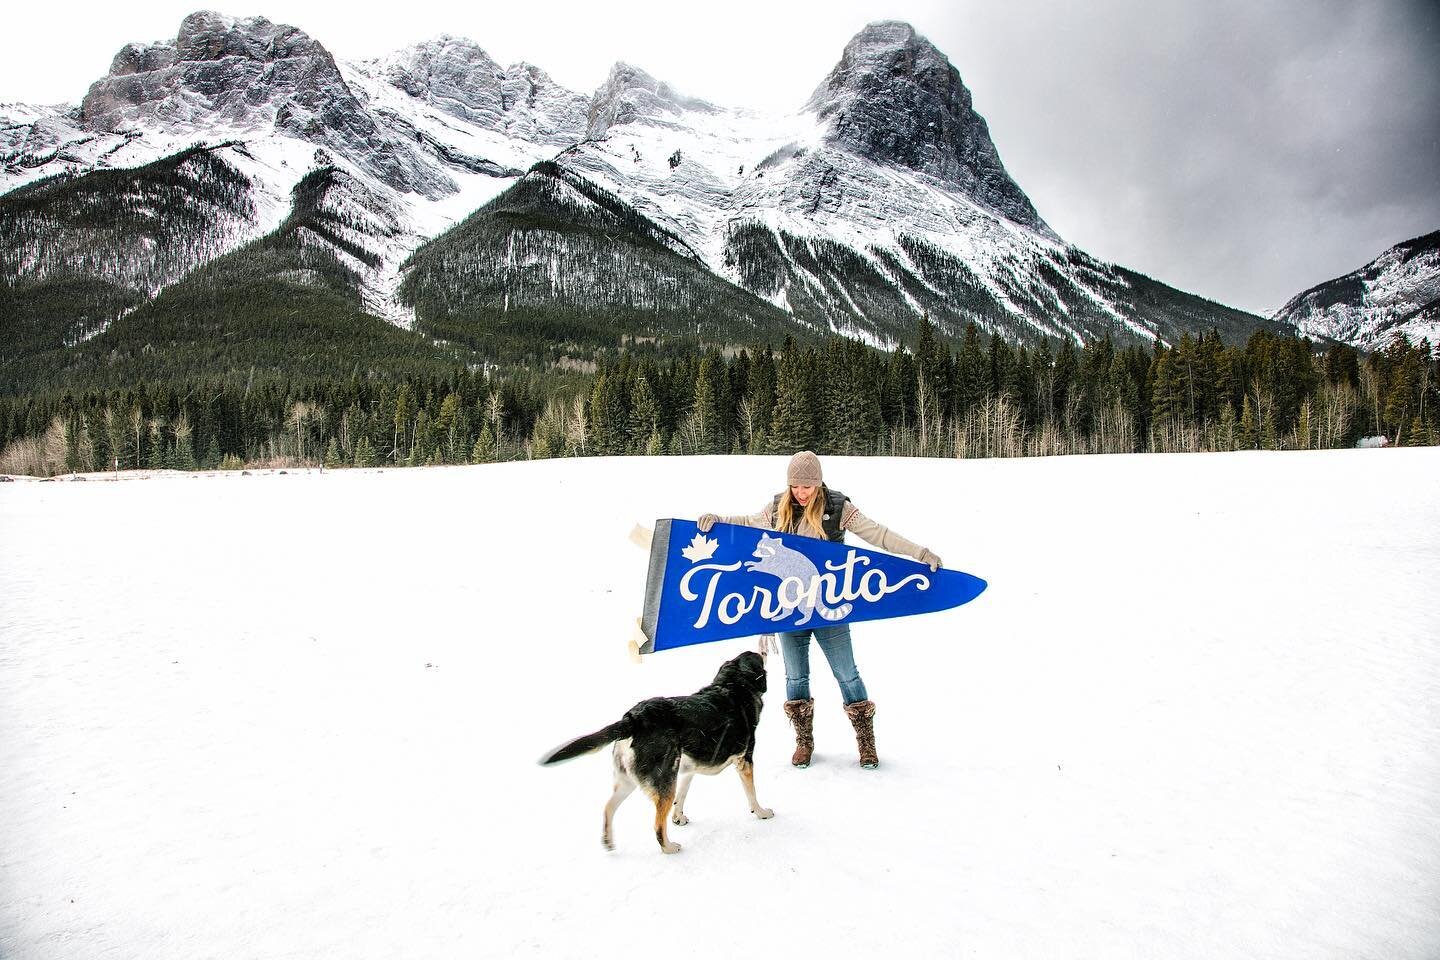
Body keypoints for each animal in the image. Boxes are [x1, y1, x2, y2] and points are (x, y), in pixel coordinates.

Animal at [538, 653, 771, 857]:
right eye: (759, 656)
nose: (763, 646)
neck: (733, 686)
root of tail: (632, 719)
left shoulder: (688, 770)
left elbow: (681, 797)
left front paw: (679, 818)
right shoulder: (744, 761)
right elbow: (752, 795)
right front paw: (761, 813)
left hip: (630, 782)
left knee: (607, 808)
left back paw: (608, 841)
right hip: (664, 782)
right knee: (657, 825)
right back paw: (669, 847)